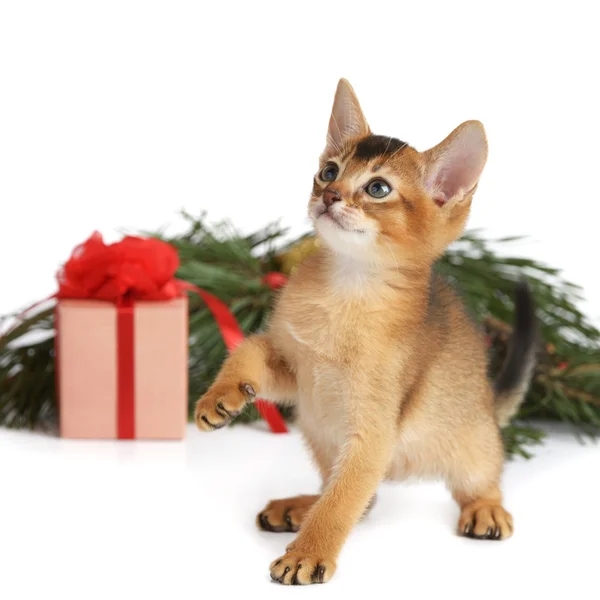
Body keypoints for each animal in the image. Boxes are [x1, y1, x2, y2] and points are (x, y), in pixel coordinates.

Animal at [195, 77, 536, 584]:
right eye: (328, 170)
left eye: (378, 188)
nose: (329, 195)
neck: (343, 292)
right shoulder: (297, 370)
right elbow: (247, 352)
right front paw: (220, 397)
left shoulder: (373, 432)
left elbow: (343, 501)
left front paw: (308, 554)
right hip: (317, 430)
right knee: (361, 497)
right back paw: (299, 506)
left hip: (471, 441)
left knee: (477, 478)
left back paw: (484, 509)